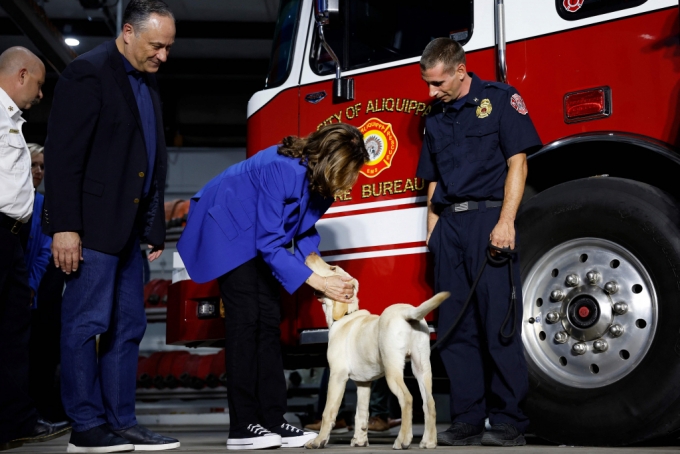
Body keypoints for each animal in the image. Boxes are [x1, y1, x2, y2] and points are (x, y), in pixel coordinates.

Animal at [306, 252, 448, 450]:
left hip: (392, 370)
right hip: (422, 368)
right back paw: (429, 441)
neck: (345, 316)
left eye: (333, 268)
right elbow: (361, 413)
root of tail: (407, 312)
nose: (311, 253)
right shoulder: (363, 383)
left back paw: (403, 440)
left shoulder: (337, 375)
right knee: (429, 403)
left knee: (407, 399)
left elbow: (328, 412)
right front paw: (359, 440)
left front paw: (318, 441)